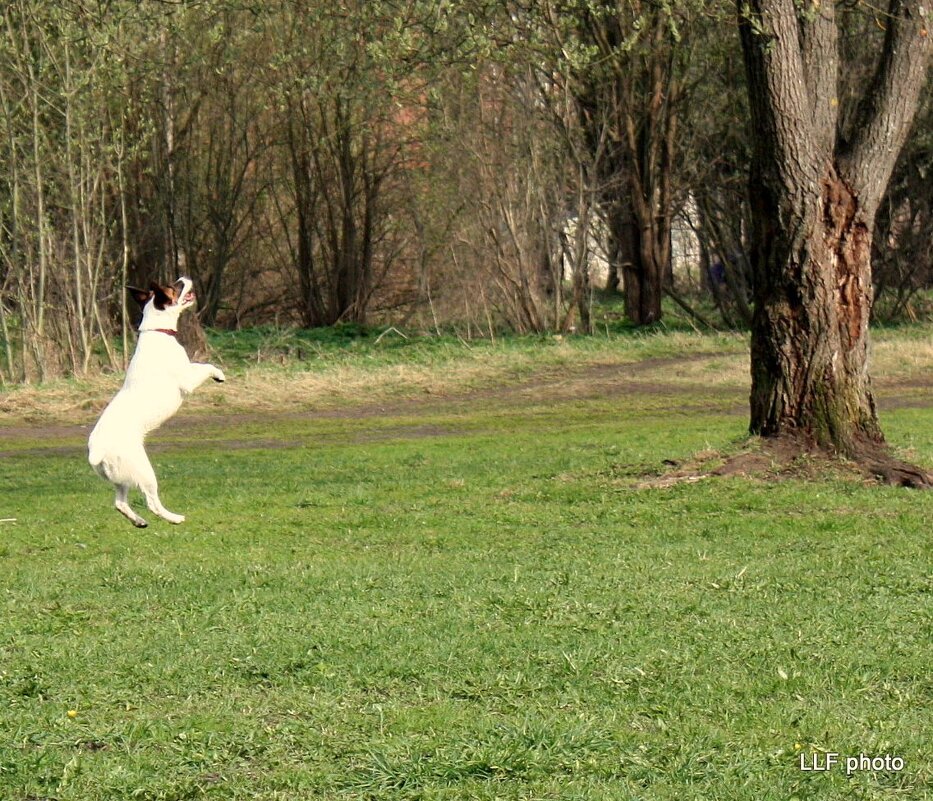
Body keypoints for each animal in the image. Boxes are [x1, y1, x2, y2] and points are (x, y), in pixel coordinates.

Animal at [88, 278, 226, 528]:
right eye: (176, 287)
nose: (184, 278)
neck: (158, 331)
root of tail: (97, 450)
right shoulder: (187, 380)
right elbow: (204, 366)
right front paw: (218, 374)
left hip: (122, 478)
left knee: (120, 503)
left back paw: (138, 521)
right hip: (144, 473)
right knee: (152, 502)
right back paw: (174, 518)